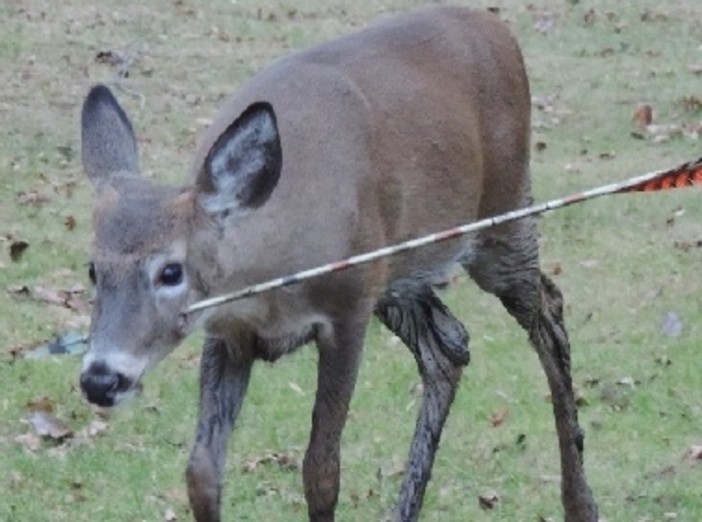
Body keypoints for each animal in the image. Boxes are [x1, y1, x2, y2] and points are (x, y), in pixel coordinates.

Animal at [80, 5, 604, 520]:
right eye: (92, 269)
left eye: (171, 271)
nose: (101, 378)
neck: (272, 284)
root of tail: (497, 28)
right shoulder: (229, 332)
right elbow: (202, 472)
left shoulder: (348, 307)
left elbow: (321, 470)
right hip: (399, 271)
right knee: (449, 344)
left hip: (503, 213)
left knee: (549, 311)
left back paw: (580, 504)